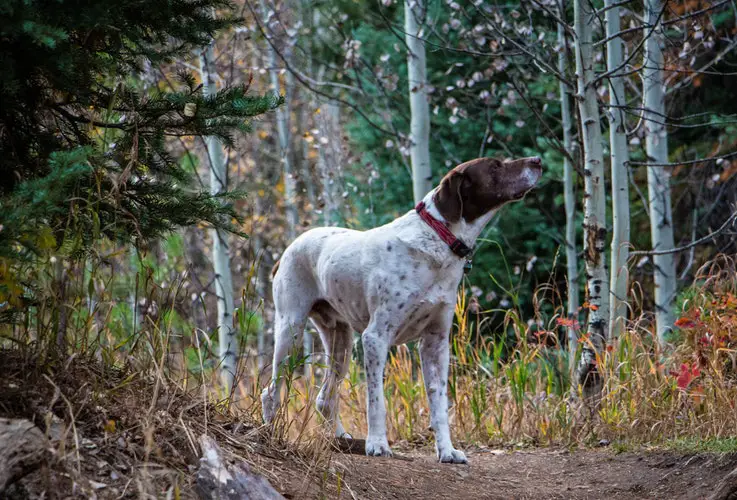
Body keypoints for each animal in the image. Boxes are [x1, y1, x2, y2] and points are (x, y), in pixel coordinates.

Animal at [260, 156, 540, 464]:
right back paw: (270, 434)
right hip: (290, 330)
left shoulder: (436, 344)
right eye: (495, 166)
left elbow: (439, 405)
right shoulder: (375, 337)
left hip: (340, 341)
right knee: (270, 391)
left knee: (325, 398)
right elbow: (376, 401)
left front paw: (447, 450)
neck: (437, 241)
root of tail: (287, 251)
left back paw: (341, 439)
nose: (537, 160)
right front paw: (377, 444)